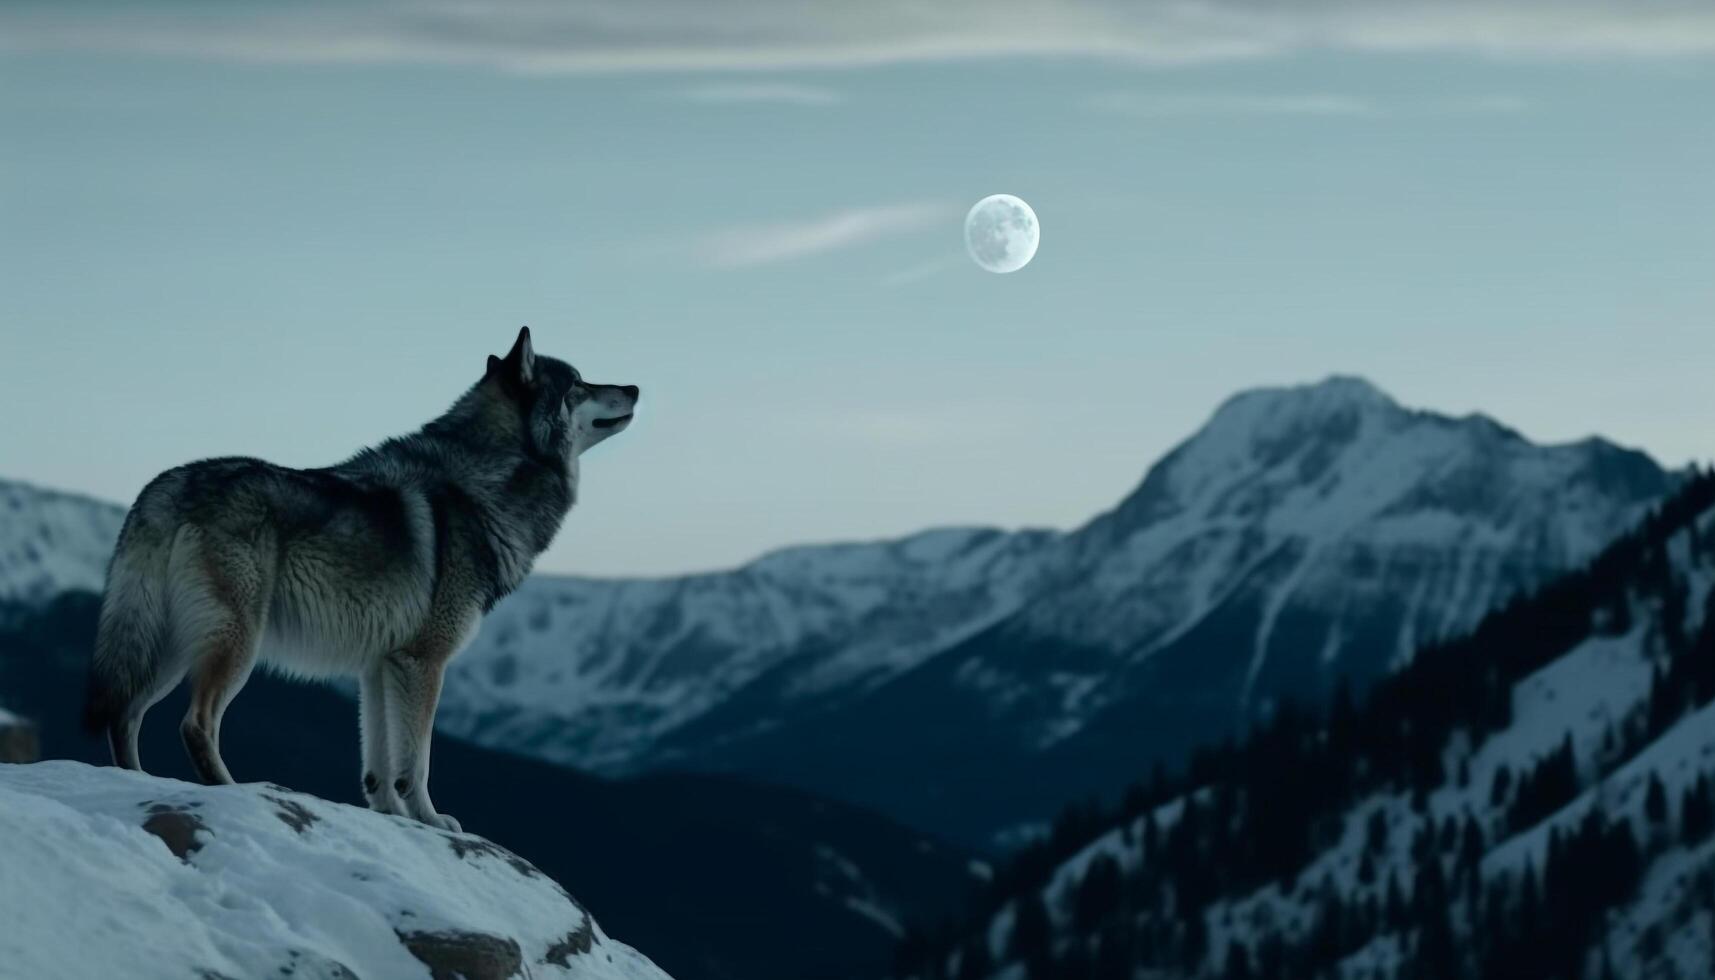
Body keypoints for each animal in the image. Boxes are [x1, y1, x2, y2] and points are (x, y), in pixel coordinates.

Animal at [81, 329, 637, 827]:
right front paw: (431, 819)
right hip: (233, 646)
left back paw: (135, 781)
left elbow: (380, 764)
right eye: (579, 383)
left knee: (123, 715)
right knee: (195, 724)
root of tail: (165, 486)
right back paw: (230, 787)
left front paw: (391, 815)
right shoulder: (424, 662)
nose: (634, 387)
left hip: (168, 649)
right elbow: (417, 762)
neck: (486, 482)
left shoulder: (379, 666)